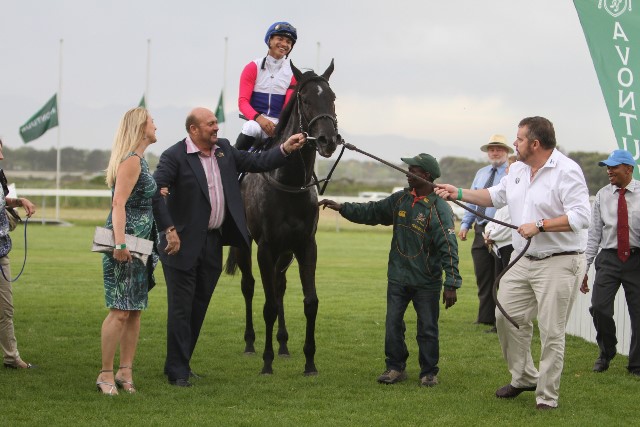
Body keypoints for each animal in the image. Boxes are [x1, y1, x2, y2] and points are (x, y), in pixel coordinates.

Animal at [224, 60, 340, 375]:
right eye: (305, 99)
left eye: (332, 98)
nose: (328, 140)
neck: (289, 181)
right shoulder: (265, 247)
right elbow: (268, 306)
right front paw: (267, 361)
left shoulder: (305, 245)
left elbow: (310, 302)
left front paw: (309, 361)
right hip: (244, 244)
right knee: (249, 286)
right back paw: (251, 343)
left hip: (285, 252)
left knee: (279, 286)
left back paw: (284, 345)